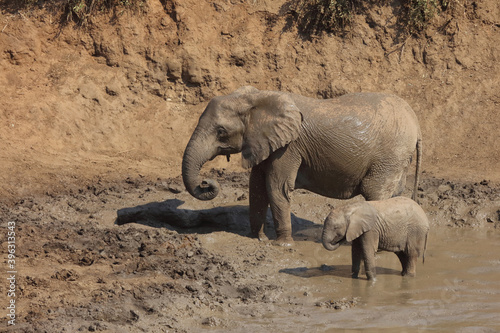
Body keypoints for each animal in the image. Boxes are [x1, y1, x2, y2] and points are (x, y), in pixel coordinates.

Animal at [181, 87, 422, 245]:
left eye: (221, 131)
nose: (206, 182)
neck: (257, 97)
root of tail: (416, 122)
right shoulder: (266, 143)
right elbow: (256, 187)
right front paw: (258, 238)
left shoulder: (289, 147)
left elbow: (276, 187)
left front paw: (282, 245)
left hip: (390, 155)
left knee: (376, 192)